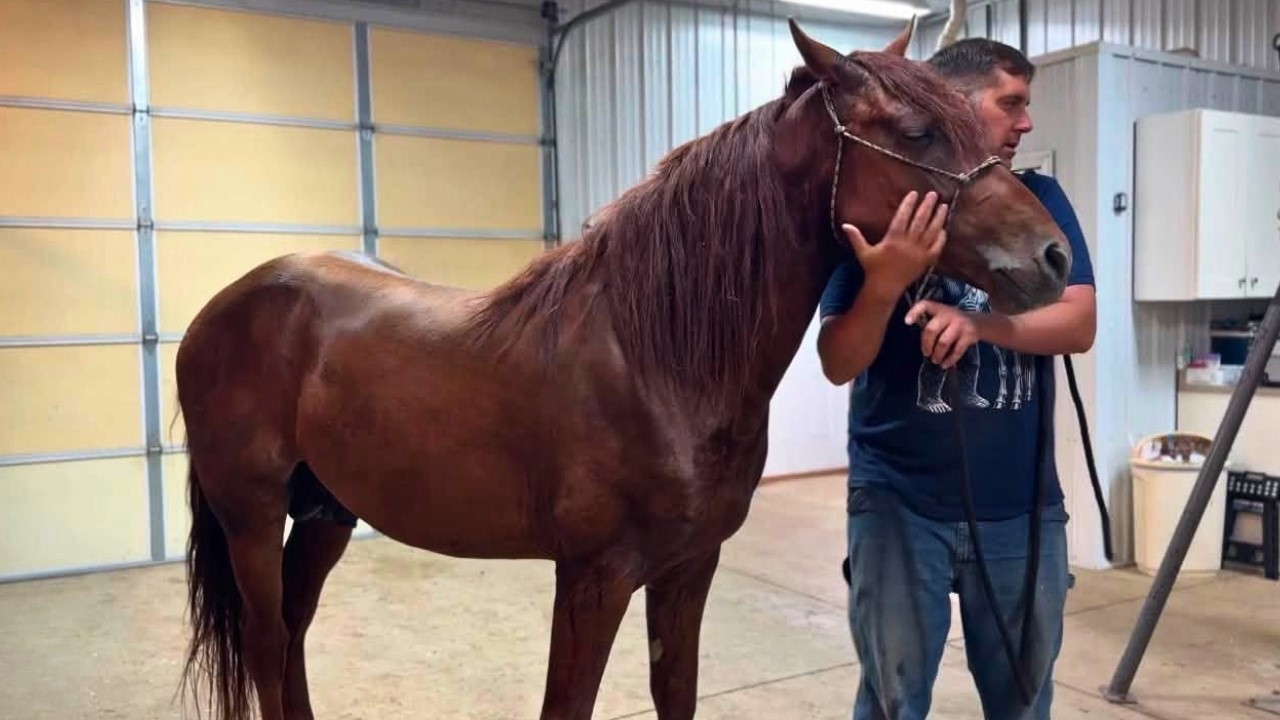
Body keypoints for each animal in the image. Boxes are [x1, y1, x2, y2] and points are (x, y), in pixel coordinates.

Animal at [175, 18, 1072, 720]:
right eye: (917, 132)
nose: (1054, 256)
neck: (658, 358)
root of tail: (230, 301)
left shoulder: (688, 571)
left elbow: (676, 690)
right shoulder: (594, 578)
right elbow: (567, 704)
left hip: (325, 512)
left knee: (291, 635)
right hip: (251, 513)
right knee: (265, 643)